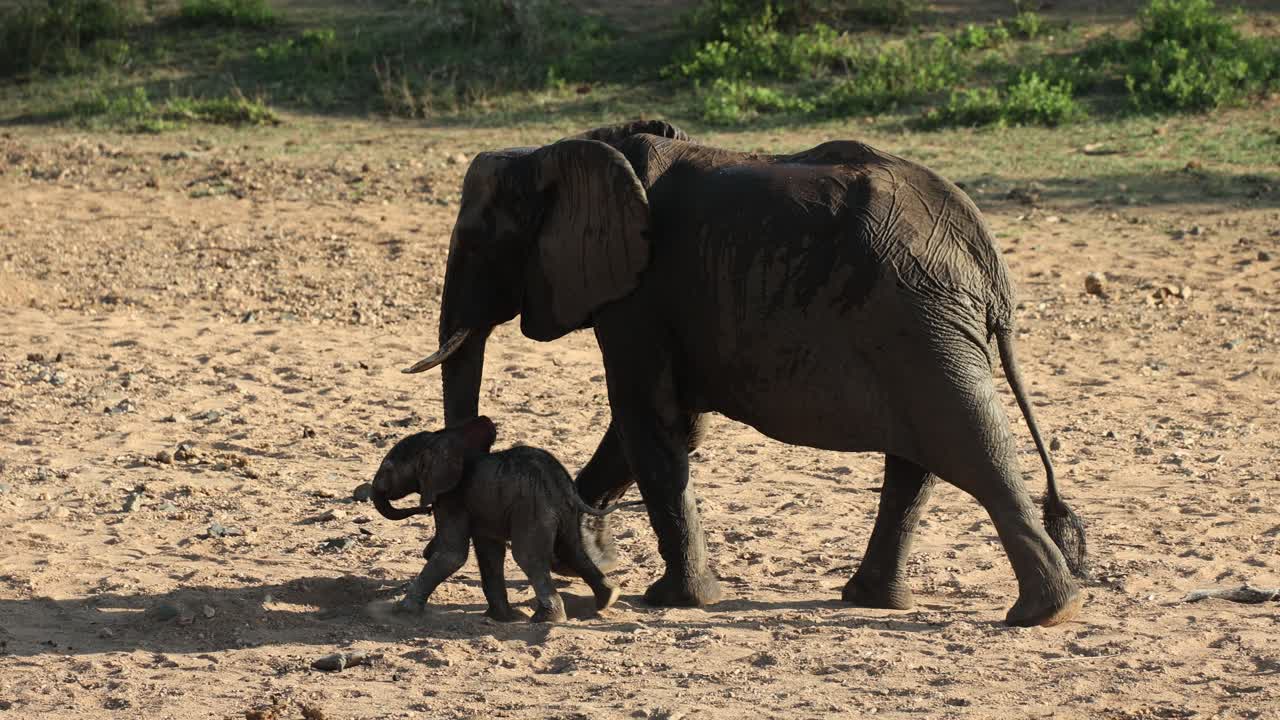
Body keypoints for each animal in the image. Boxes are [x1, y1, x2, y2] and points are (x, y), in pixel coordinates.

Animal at [372, 416, 640, 622]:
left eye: (387, 469)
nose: (423, 510)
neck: (440, 441)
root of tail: (563, 482)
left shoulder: (451, 498)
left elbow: (452, 555)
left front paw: (401, 611)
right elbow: (489, 552)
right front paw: (501, 617)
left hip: (532, 509)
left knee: (529, 557)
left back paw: (546, 619)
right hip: (562, 512)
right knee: (572, 551)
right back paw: (608, 599)